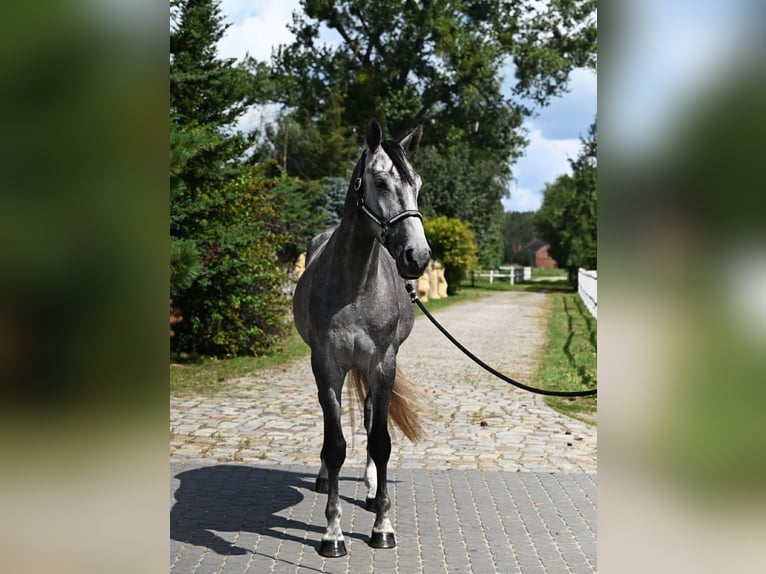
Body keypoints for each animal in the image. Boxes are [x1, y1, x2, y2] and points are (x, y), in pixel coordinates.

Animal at [293, 118, 431, 557]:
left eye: (417, 183)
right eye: (380, 180)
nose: (417, 256)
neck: (354, 285)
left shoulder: (384, 363)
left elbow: (381, 441)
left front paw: (382, 526)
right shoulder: (326, 365)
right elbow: (335, 444)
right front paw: (332, 534)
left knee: (372, 420)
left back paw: (371, 492)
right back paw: (324, 479)